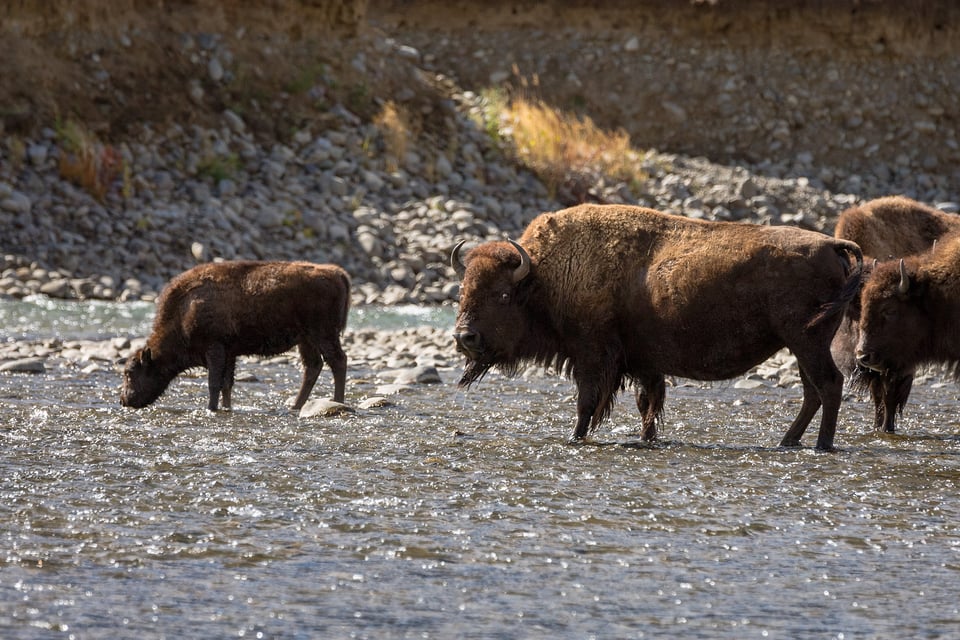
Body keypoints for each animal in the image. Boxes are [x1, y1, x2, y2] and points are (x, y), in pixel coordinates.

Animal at [120, 258, 350, 410]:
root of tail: (336, 273)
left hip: (323, 334)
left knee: (337, 361)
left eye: (130, 373)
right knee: (313, 366)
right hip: (306, 340)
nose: (123, 400)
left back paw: (338, 401)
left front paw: (211, 408)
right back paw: (296, 406)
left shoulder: (215, 349)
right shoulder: (229, 353)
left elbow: (214, 383)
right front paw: (226, 408)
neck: (184, 309)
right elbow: (226, 384)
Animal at [450, 204, 864, 450]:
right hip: (800, 345)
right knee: (812, 392)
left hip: (807, 341)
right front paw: (646, 438)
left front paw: (574, 437)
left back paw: (821, 445)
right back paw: (787, 441)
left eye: (503, 294)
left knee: (828, 385)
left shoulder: (592, 355)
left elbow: (588, 402)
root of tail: (832, 244)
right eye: (462, 290)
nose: (464, 337)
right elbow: (647, 403)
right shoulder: (642, 362)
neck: (545, 276)